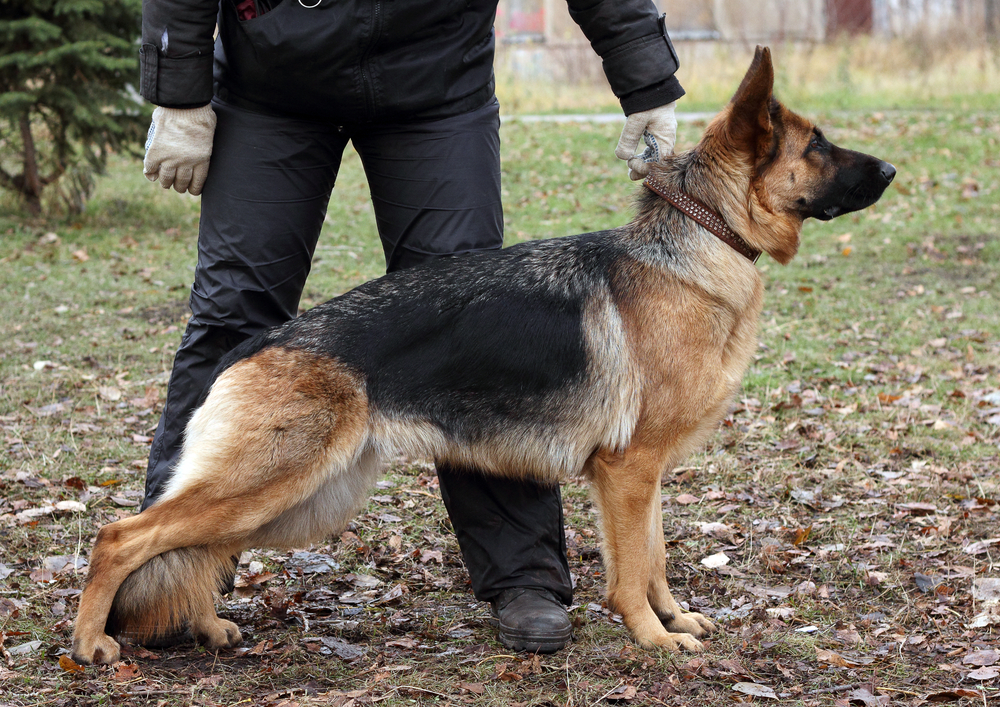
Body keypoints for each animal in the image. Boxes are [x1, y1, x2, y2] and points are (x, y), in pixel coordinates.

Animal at [72, 48, 900, 664]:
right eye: (816, 145)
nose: (893, 171)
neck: (699, 238)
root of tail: (259, 342)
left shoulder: (647, 474)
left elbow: (658, 556)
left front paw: (675, 618)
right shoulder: (626, 471)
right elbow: (632, 570)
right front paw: (652, 638)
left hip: (299, 498)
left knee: (191, 545)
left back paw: (201, 625)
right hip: (273, 484)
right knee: (123, 536)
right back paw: (90, 643)